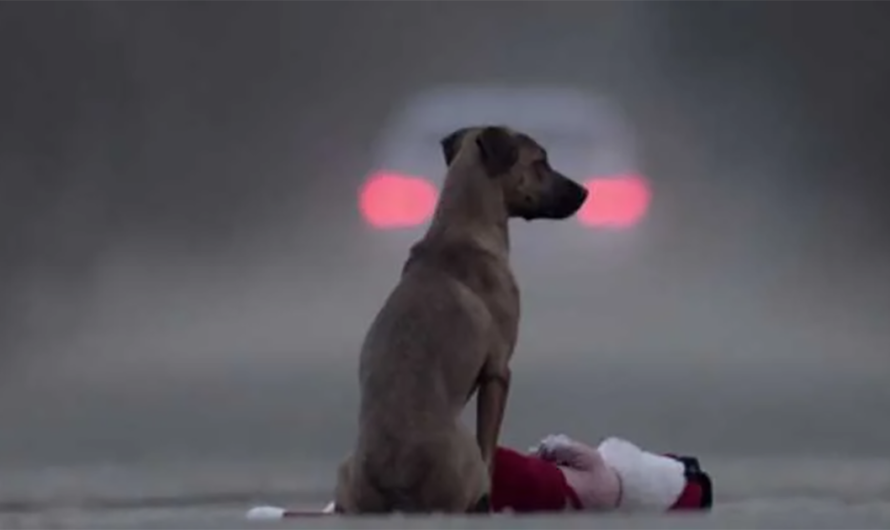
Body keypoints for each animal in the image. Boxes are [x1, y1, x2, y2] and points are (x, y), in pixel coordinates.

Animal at [332, 125, 588, 512]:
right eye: (541, 161)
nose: (585, 192)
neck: (461, 228)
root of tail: (398, 486)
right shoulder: (498, 372)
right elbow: (490, 448)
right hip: (466, 453)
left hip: (346, 466)